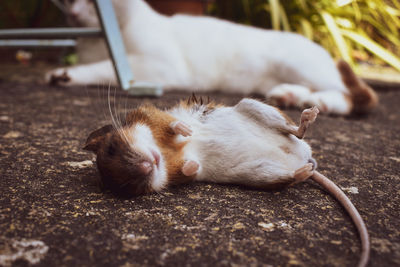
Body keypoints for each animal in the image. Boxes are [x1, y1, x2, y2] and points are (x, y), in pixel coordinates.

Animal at [47, 0, 378, 115]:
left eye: (93, 2)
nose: (73, 12)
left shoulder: (161, 67)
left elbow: (108, 68)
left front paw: (65, 75)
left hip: (297, 63)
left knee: (360, 95)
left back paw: (323, 101)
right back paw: (291, 96)